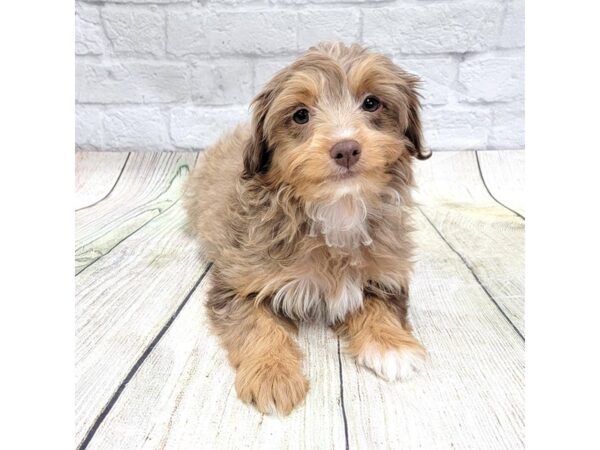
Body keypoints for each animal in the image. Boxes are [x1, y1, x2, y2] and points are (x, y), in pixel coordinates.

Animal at [184, 42, 432, 414]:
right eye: (301, 115)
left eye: (371, 102)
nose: (346, 148)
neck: (337, 210)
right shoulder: (239, 279)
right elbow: (257, 324)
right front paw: (272, 374)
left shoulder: (386, 270)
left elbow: (381, 304)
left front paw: (392, 345)